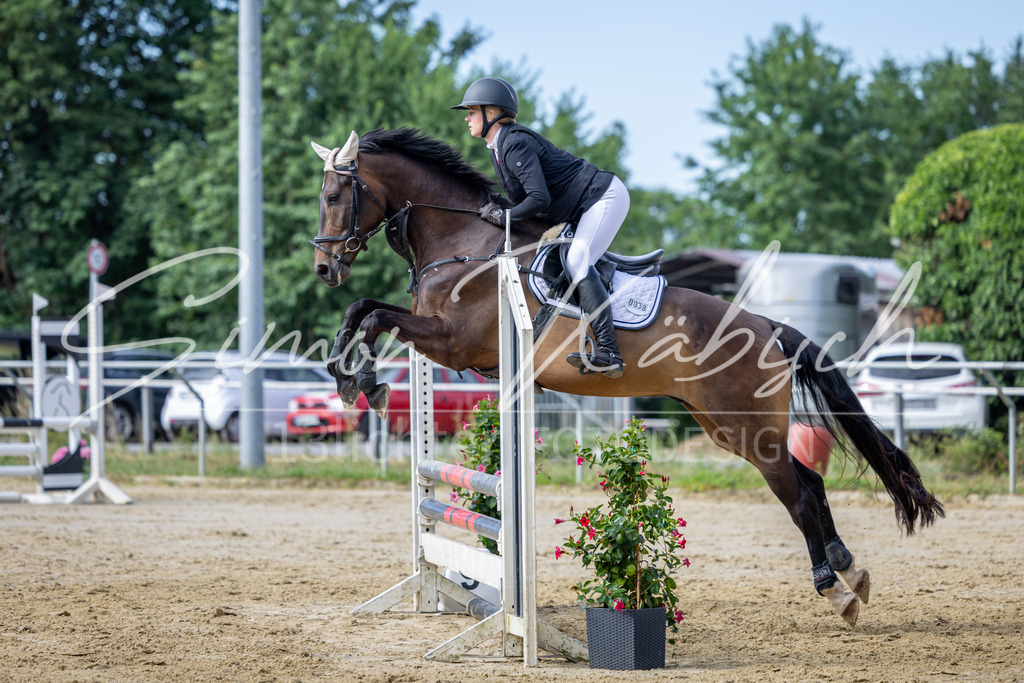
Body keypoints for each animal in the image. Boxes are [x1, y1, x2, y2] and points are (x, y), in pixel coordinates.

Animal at [308, 127, 943, 627]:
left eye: (336, 195)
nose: (323, 268)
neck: (465, 244)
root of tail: (764, 324)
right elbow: (362, 312)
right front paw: (352, 378)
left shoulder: (452, 338)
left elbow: (373, 313)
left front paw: (361, 382)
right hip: (724, 426)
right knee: (808, 480)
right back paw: (848, 569)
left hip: (747, 427)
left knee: (799, 495)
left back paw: (834, 589)